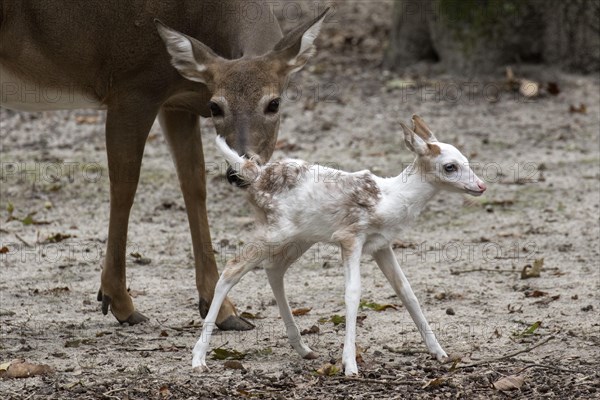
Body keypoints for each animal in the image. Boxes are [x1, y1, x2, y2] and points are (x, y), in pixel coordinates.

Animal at [0, 1, 330, 330]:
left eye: (274, 103)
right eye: (216, 107)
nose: (240, 171)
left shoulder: (176, 103)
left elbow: (193, 185)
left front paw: (224, 311)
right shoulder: (132, 87)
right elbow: (125, 187)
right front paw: (119, 301)